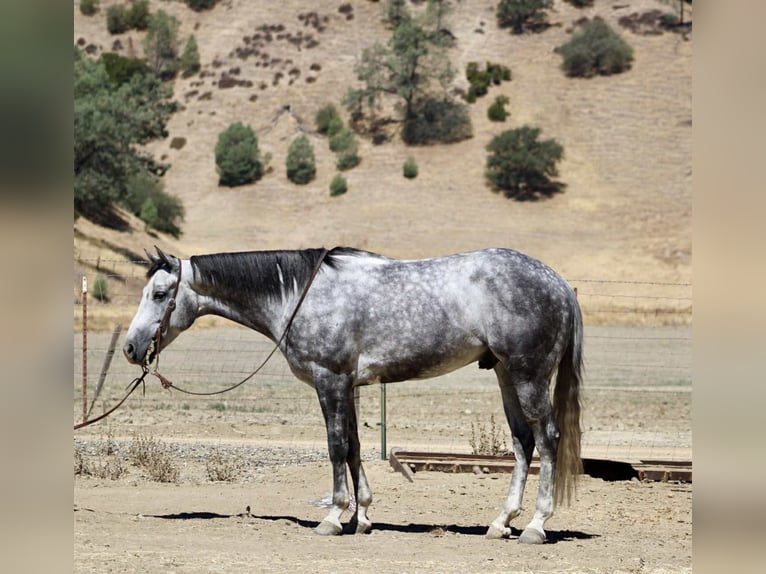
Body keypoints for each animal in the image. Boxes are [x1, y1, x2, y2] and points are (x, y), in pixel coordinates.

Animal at [123, 246, 583, 544]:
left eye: (160, 294)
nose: (130, 347)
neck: (301, 295)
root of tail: (559, 282)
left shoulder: (330, 381)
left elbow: (336, 446)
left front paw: (333, 516)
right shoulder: (349, 386)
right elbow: (355, 446)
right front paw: (361, 517)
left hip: (528, 375)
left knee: (547, 440)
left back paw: (535, 526)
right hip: (506, 375)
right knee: (522, 443)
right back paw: (501, 522)